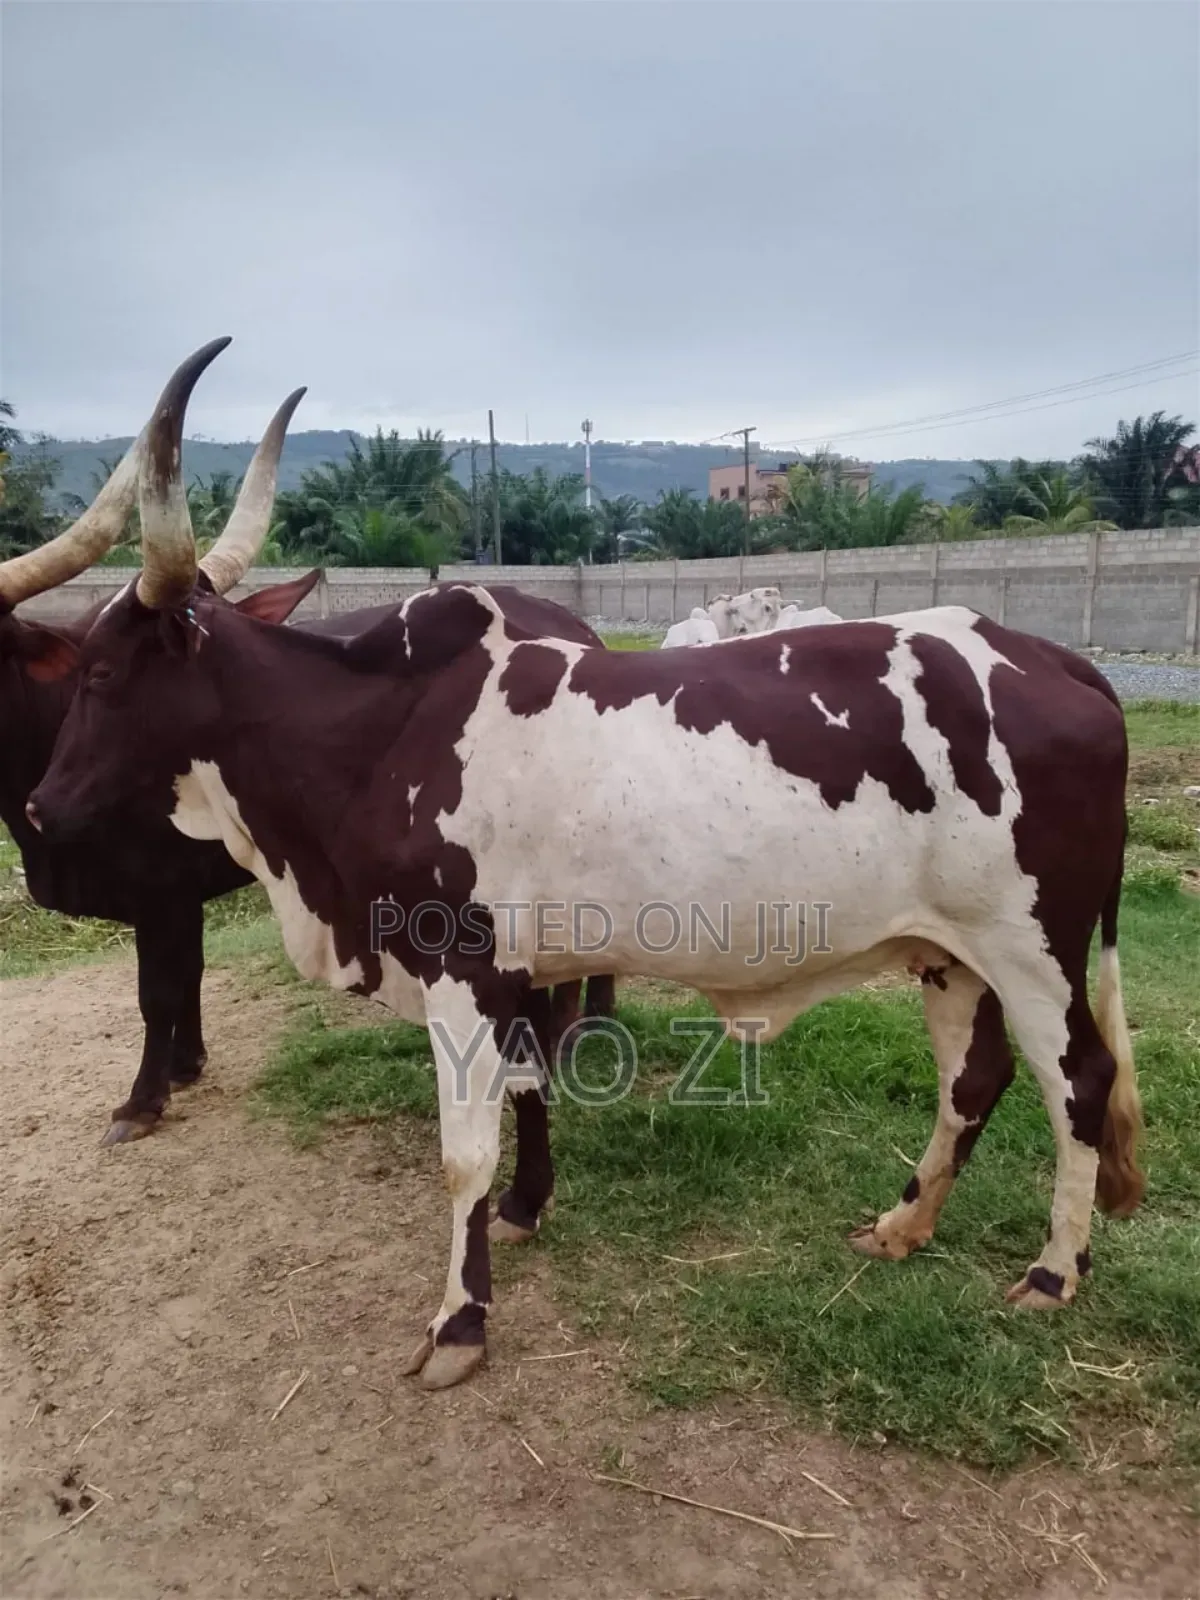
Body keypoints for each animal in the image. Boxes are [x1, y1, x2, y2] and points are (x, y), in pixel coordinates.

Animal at [2, 340, 612, 1147]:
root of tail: (575, 626)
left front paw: (140, 1099)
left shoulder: (164, 895)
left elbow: (157, 992)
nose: (45, 805)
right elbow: (184, 981)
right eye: (78, 672)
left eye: (100, 673)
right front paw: (184, 1066)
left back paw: (577, 1033)